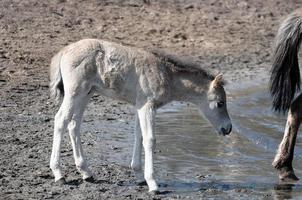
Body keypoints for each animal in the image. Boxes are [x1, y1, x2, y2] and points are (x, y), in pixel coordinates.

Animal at [49, 39, 232, 192]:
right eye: (220, 103)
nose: (228, 128)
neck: (167, 75)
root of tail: (64, 51)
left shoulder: (139, 106)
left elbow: (139, 136)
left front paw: (139, 176)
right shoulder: (147, 106)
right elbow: (150, 140)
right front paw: (153, 183)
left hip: (86, 94)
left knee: (74, 124)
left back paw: (86, 172)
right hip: (75, 92)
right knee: (61, 120)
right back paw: (59, 174)